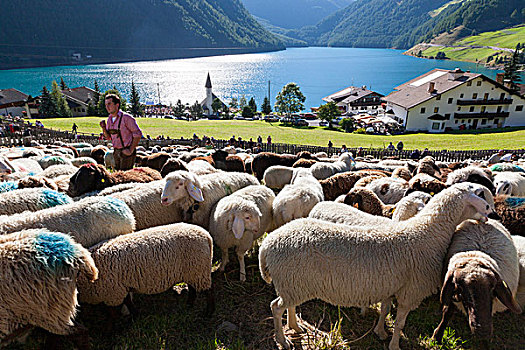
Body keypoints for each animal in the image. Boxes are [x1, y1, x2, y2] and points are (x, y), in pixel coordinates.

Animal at [78, 223, 213, 316]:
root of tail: (206, 235)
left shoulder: (113, 293)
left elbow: (113, 315)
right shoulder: (122, 288)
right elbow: (128, 302)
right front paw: (135, 316)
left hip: (199, 269)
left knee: (208, 291)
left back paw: (208, 313)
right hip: (193, 270)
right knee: (193, 289)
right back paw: (189, 305)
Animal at [260, 183, 494, 350]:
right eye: (481, 197)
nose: (490, 214)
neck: (427, 234)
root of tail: (267, 244)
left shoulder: (390, 286)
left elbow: (385, 310)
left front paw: (380, 332)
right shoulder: (410, 292)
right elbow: (399, 323)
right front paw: (394, 345)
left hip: (293, 283)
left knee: (288, 305)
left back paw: (294, 326)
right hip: (292, 282)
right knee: (276, 307)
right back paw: (283, 339)